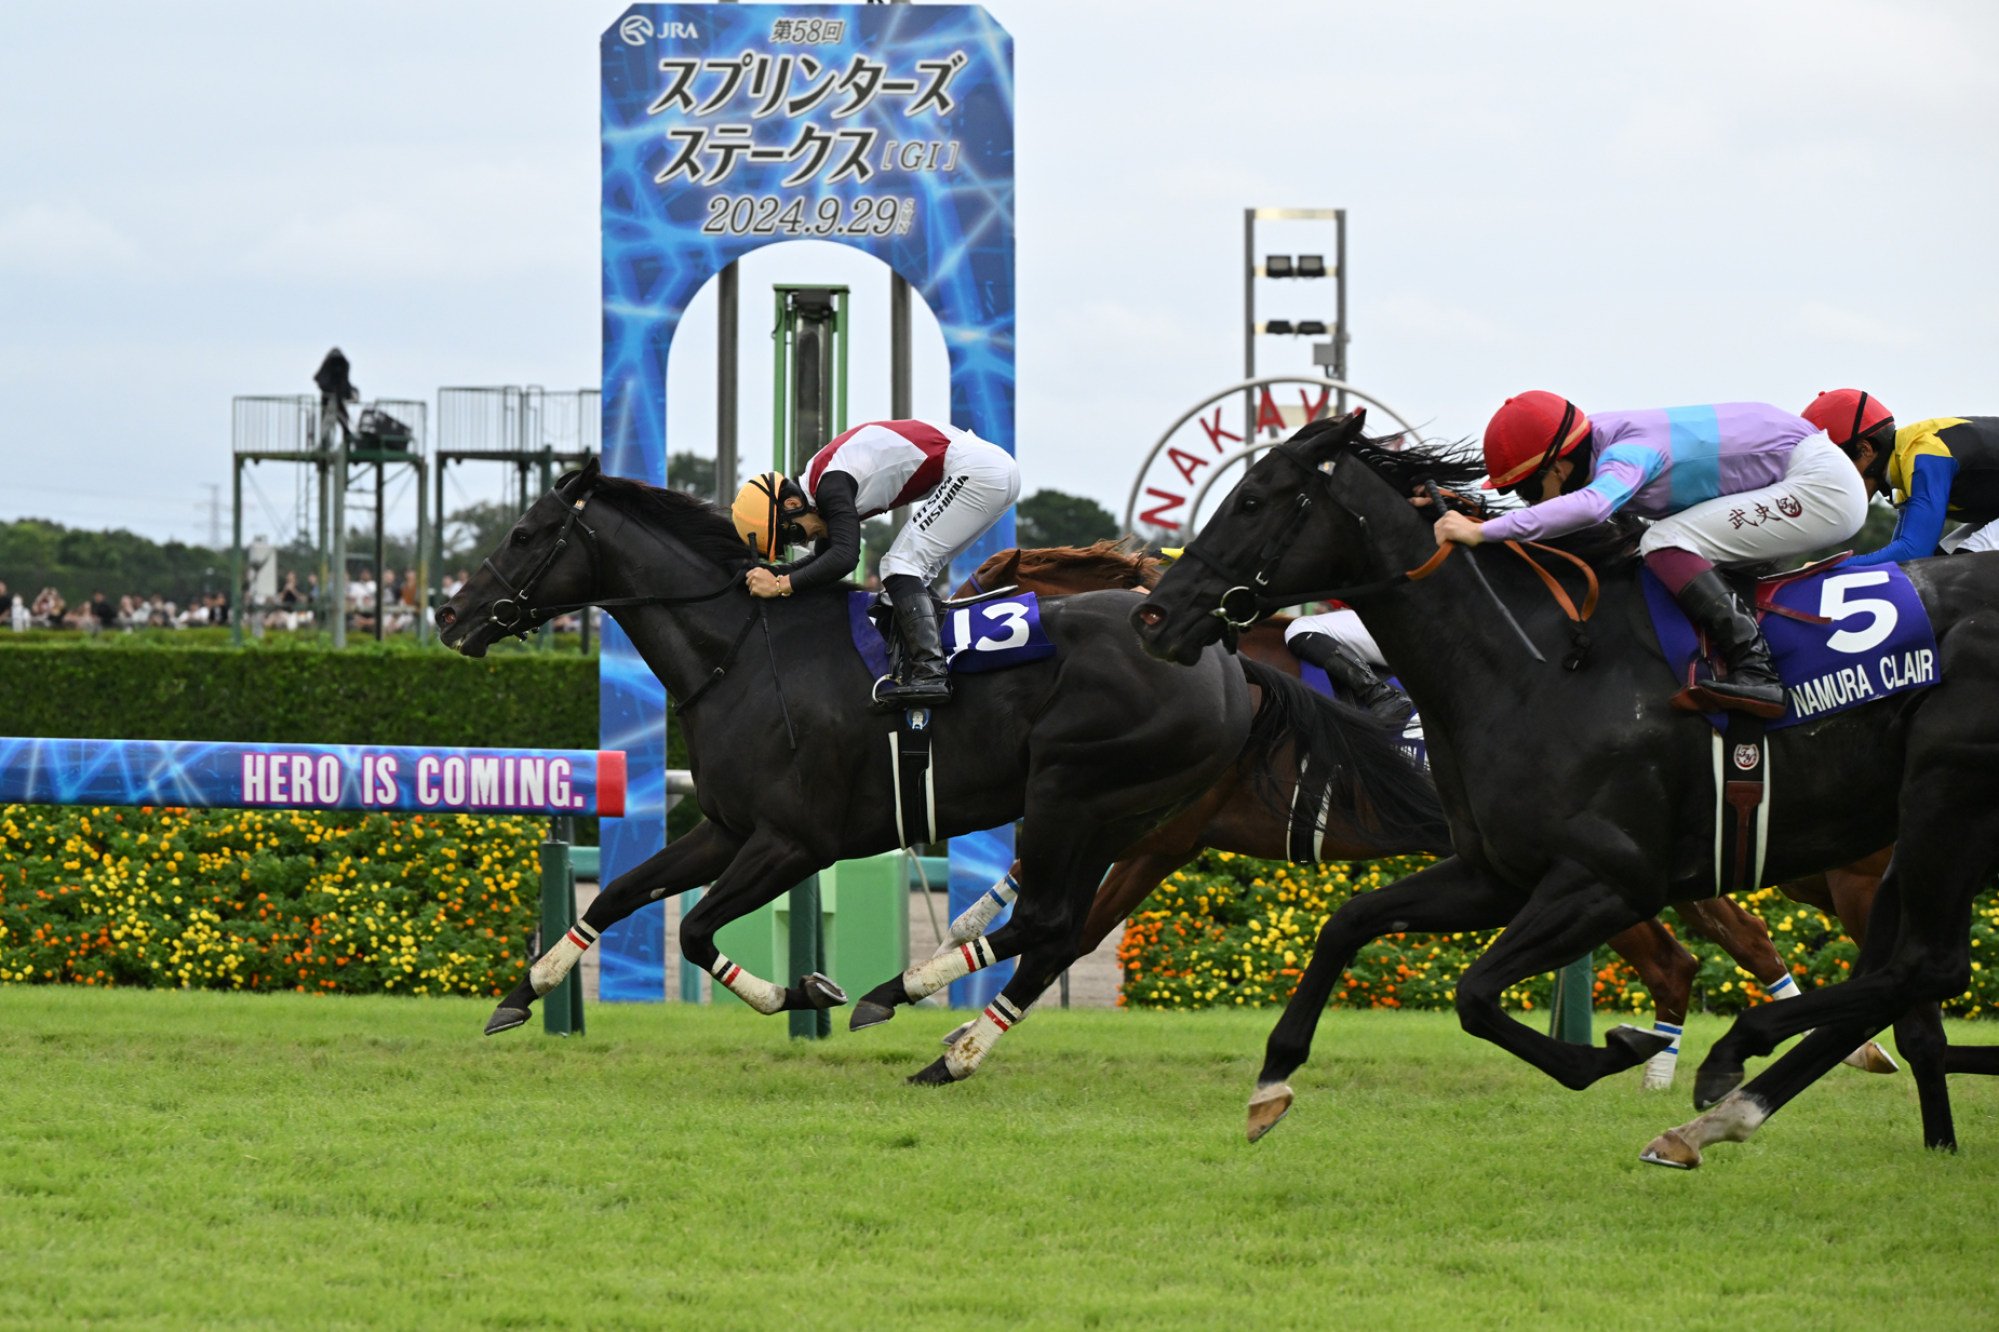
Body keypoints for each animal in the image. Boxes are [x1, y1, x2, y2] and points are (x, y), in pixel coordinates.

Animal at [441, 462, 1407, 1088]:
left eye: (524, 534)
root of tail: (1226, 664)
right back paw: (949, 1041)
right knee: (1057, 930)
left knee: (1049, 922)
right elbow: (617, 897)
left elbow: (693, 929)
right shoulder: (724, 826)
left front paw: (803, 989)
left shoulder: (793, 841)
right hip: (1126, 820)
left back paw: (897, 998)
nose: (451, 616)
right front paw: (521, 993)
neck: (743, 652)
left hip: (1072, 796)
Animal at [1135, 412, 1999, 1160]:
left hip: (1941, 801)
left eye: (1251, 500)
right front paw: (1271, 1083)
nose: (1154, 617)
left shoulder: (1608, 880)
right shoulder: (1495, 873)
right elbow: (1348, 922)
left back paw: (1732, 1063)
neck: (1537, 666)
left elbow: (1475, 993)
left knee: (1925, 967)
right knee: (1904, 978)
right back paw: (1731, 1104)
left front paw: (1615, 1050)